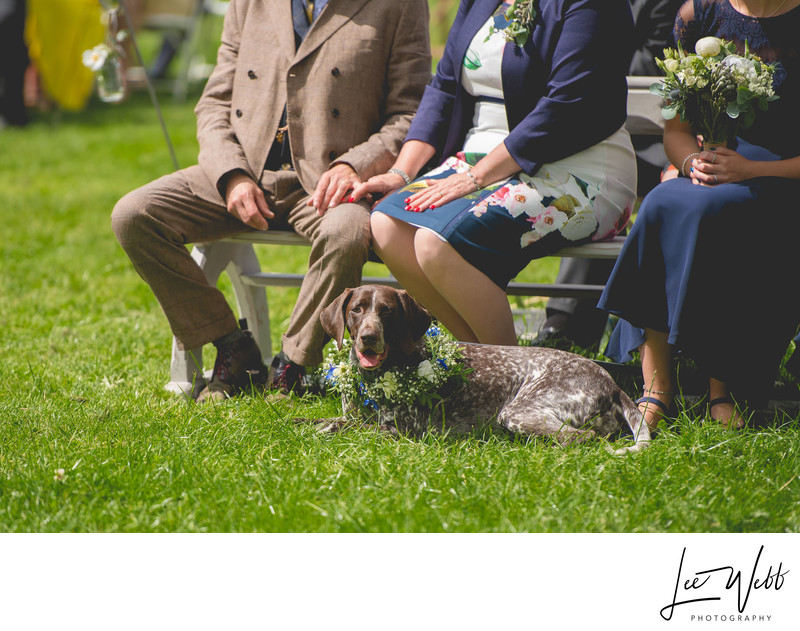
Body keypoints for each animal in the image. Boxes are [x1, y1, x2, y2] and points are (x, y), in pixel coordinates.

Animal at [312, 284, 648, 452]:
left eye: (387, 311)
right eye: (356, 310)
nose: (369, 338)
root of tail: (611, 383)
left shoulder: (401, 430)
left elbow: (340, 428)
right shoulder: (352, 416)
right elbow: (314, 421)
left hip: (517, 412)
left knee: (583, 438)